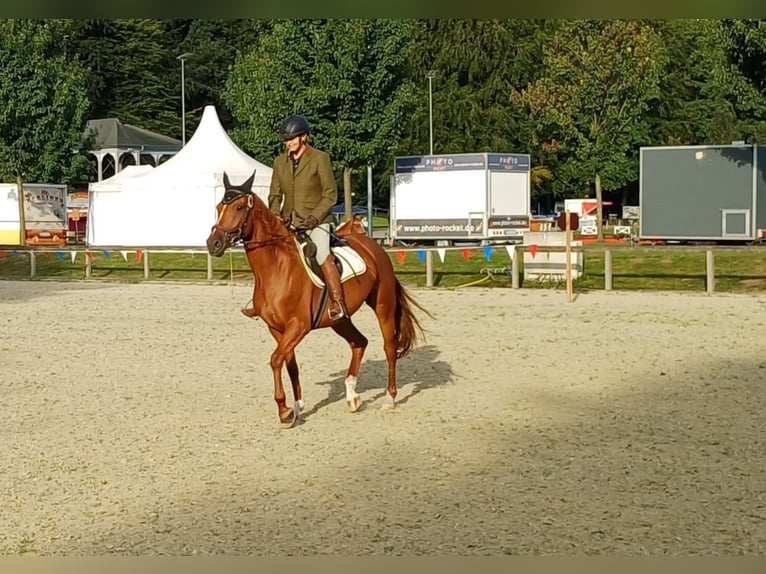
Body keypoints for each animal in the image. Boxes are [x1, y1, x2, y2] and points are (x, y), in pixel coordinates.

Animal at [206, 171, 432, 428]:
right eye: (219, 207)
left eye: (239, 207)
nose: (213, 243)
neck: (276, 267)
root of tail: (374, 246)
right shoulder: (277, 328)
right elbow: (289, 363)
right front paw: (295, 407)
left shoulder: (299, 325)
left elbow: (275, 360)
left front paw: (284, 410)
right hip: (339, 320)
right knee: (359, 342)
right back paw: (352, 396)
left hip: (383, 305)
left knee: (389, 347)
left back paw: (389, 398)